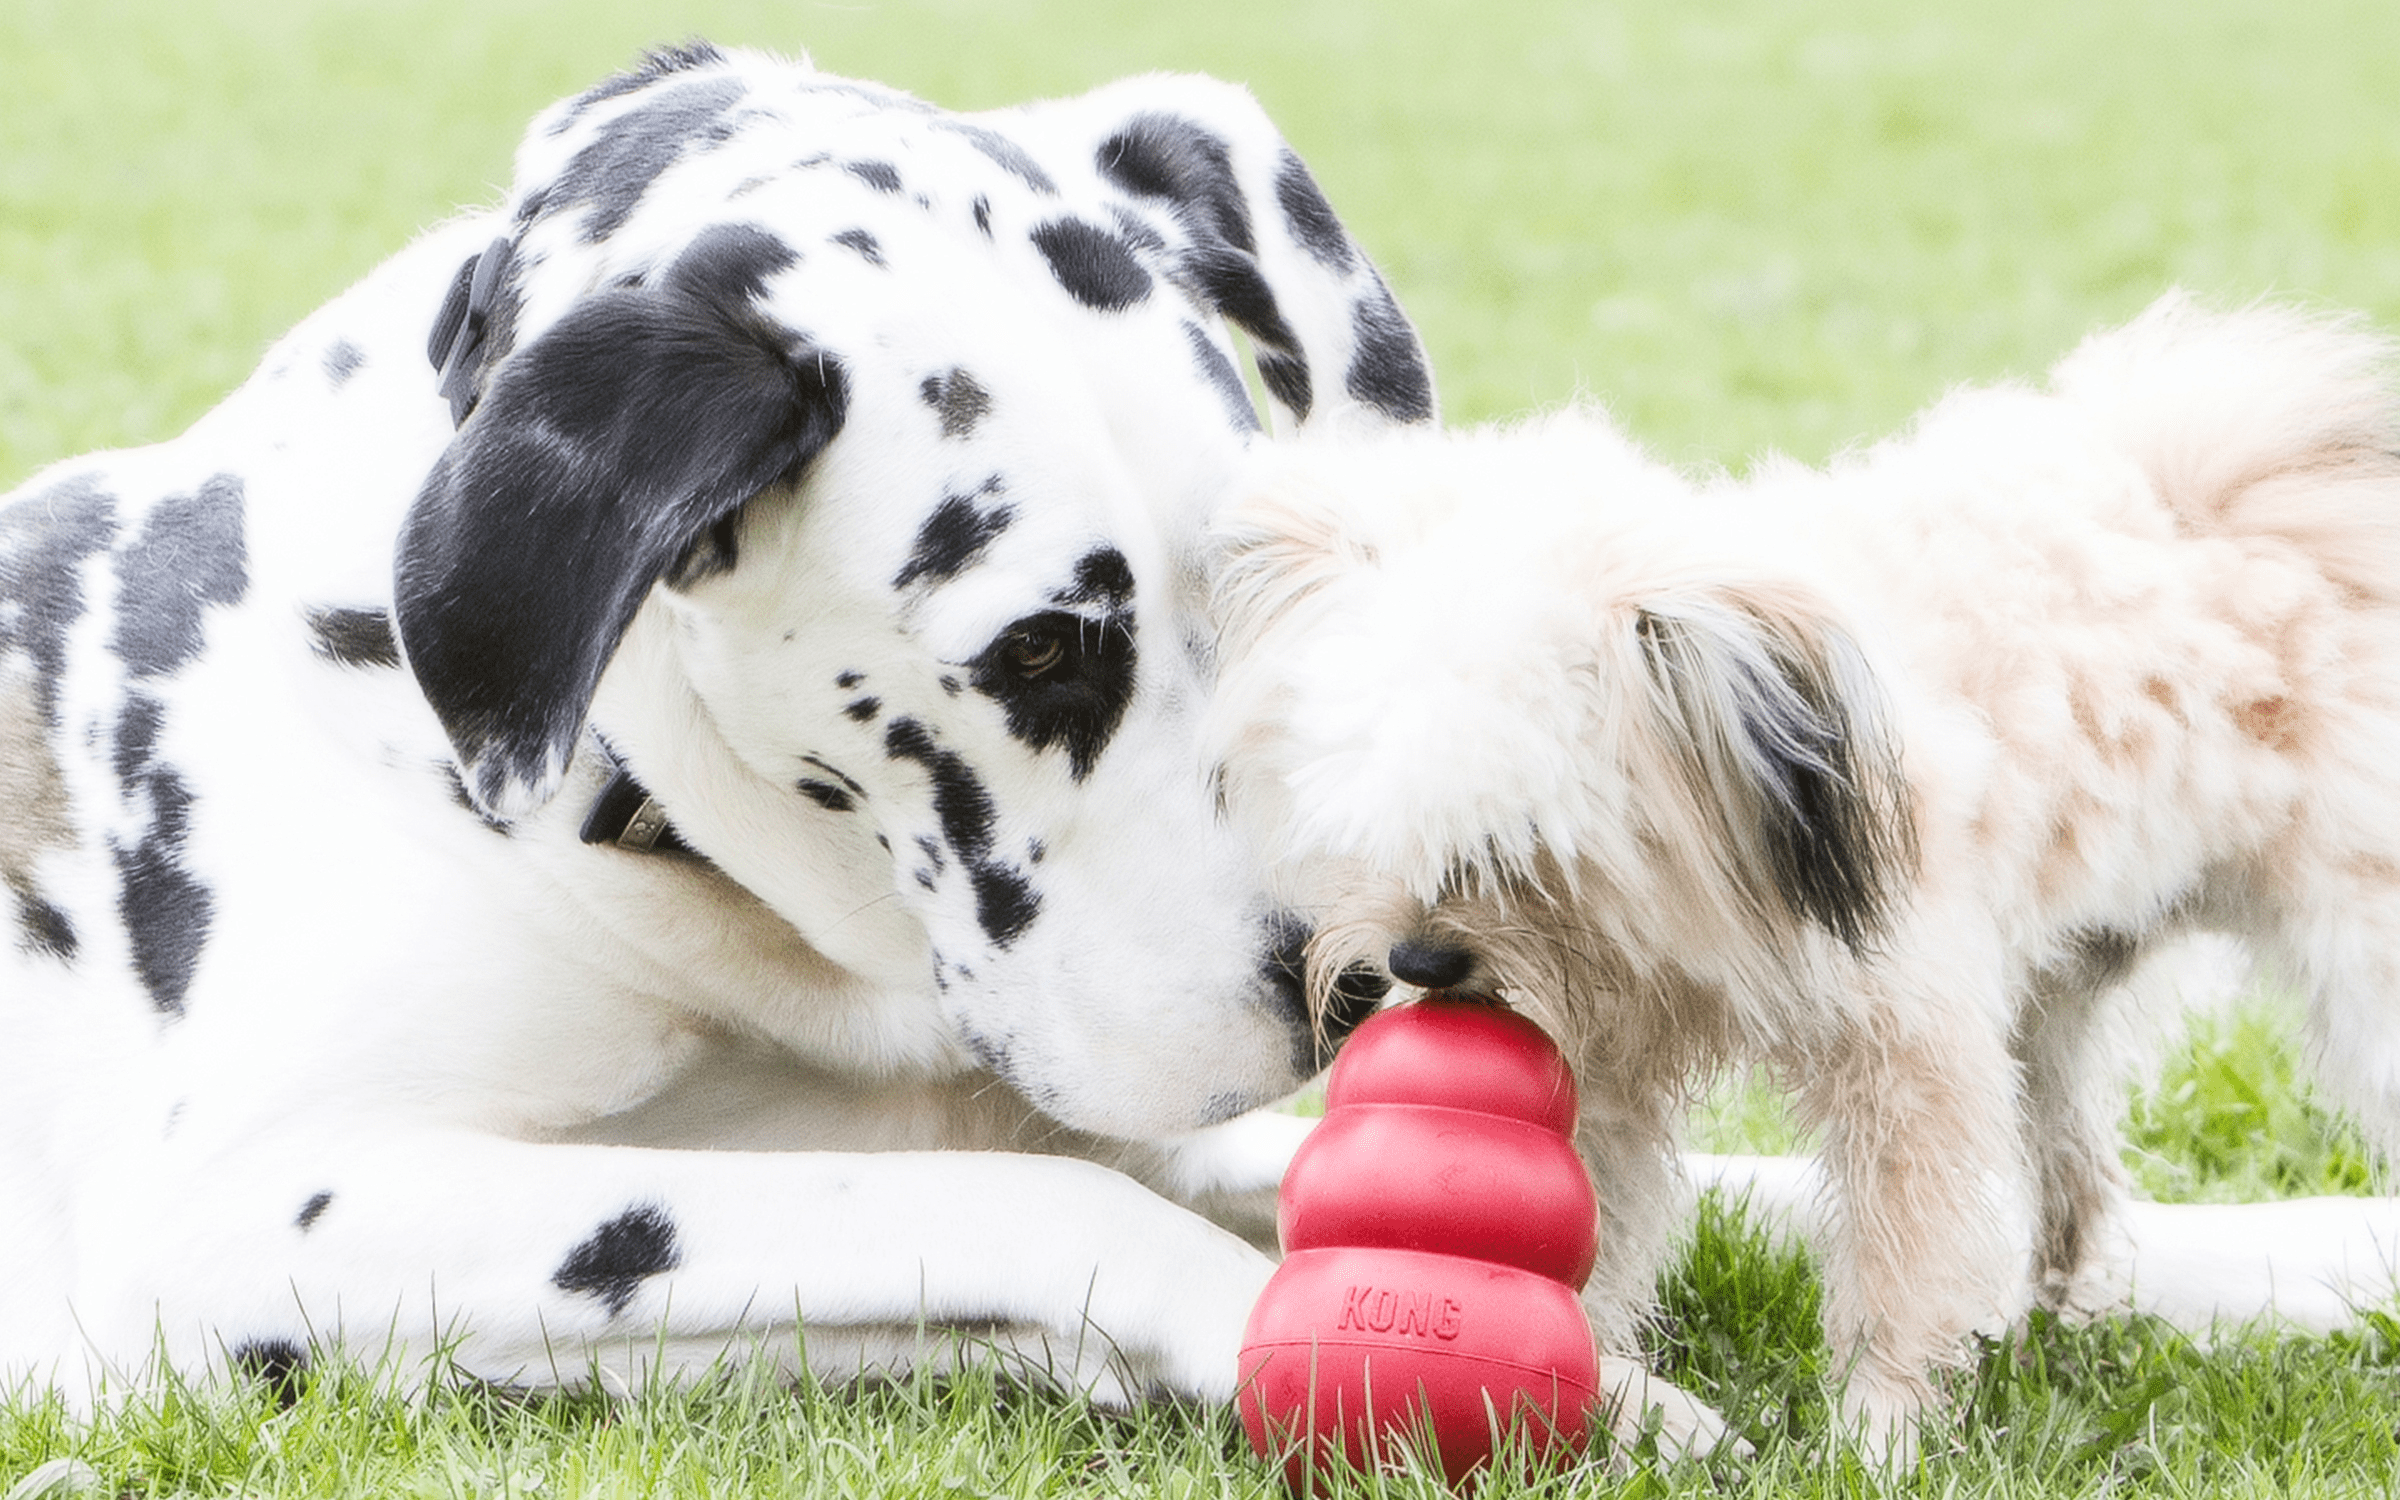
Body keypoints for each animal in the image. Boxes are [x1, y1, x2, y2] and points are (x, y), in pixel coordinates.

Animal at [1209, 292, 2400, 1449]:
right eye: (1369, 825)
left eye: (1523, 840)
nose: (1416, 961)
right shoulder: (1612, 1072)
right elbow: (1584, 1219)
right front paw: (1605, 1394)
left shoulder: (1907, 1053)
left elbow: (1898, 1263)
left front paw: (1876, 1437)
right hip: (2051, 998)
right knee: (2071, 1164)